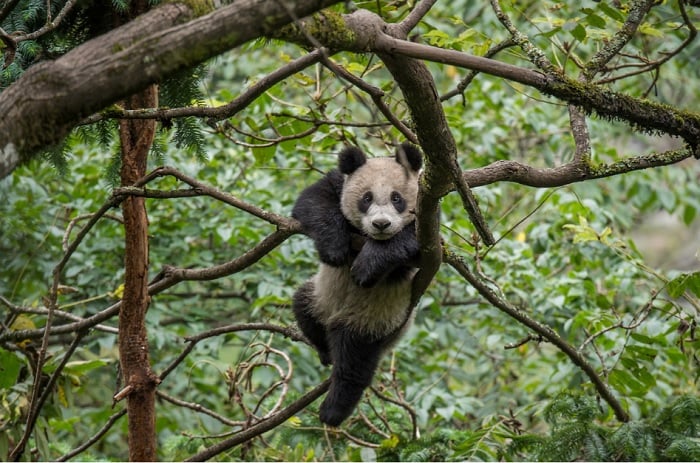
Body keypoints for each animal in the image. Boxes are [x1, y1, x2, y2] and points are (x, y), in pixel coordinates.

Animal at [291, 142, 423, 426]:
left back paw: (333, 410)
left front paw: (366, 267)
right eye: (366, 198)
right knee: (303, 306)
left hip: (373, 317)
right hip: (319, 295)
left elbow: (408, 241)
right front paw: (334, 249)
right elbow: (313, 200)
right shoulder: (338, 184)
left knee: (354, 362)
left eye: (397, 198)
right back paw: (325, 351)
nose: (381, 224)